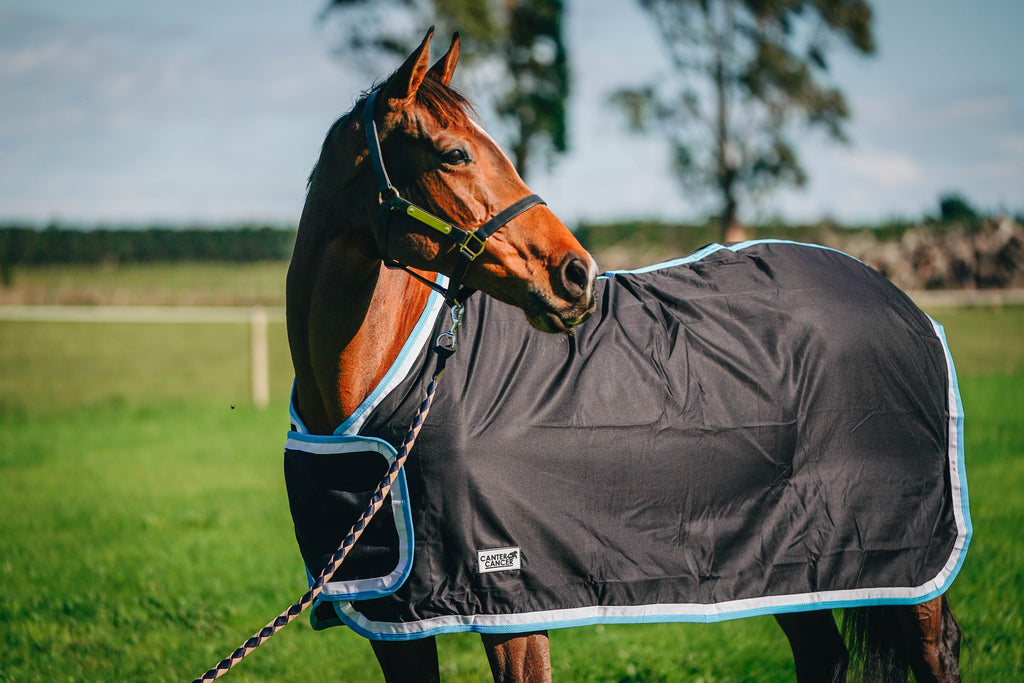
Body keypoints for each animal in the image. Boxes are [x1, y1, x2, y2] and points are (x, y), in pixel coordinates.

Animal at [286, 28, 966, 683]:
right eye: (454, 154)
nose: (576, 275)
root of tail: (901, 301)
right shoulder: (391, 619)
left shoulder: (510, 605)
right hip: (793, 561)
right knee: (822, 653)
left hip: (905, 562)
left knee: (936, 650)